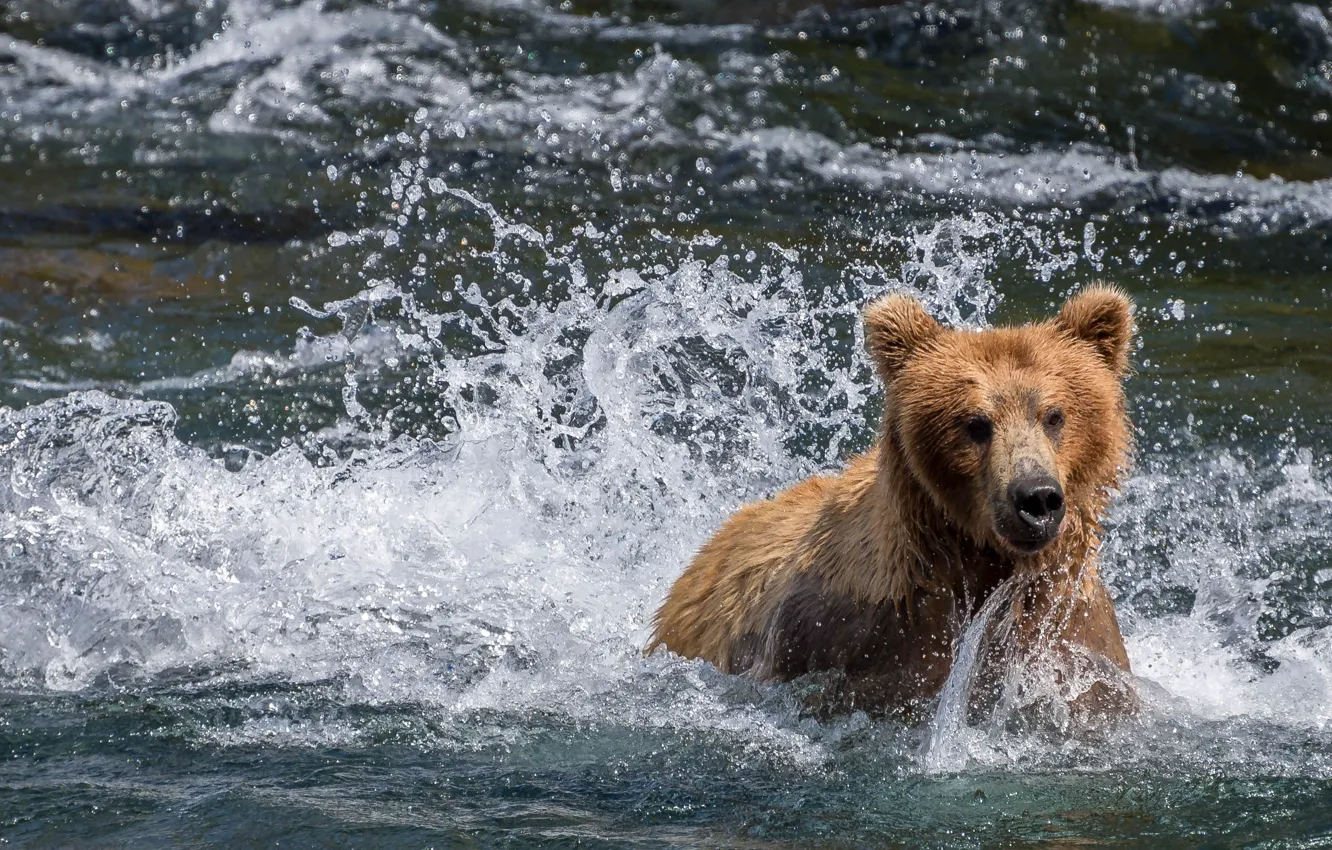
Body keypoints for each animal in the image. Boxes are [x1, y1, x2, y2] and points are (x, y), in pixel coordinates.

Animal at [644, 286, 1134, 719]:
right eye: (975, 422)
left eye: (1054, 415)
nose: (1036, 497)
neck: (978, 563)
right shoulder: (846, 635)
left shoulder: (1073, 641)